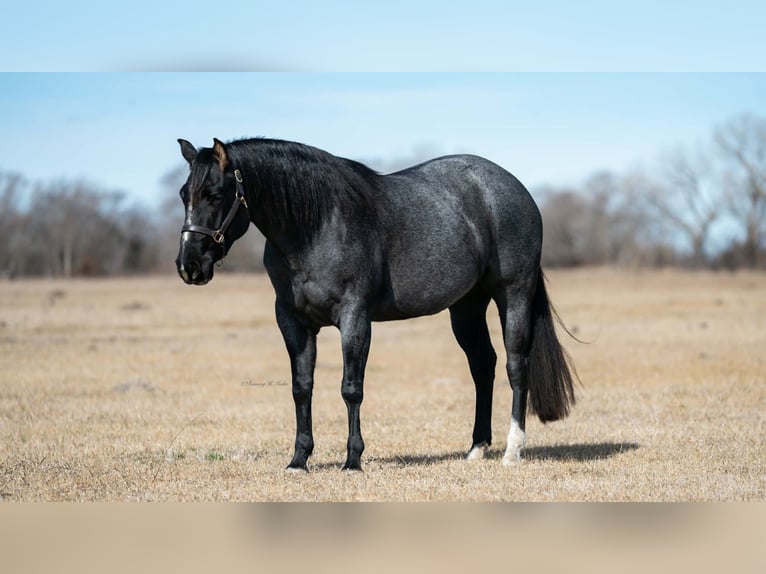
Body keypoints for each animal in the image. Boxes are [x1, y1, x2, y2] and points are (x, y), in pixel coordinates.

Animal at [175, 137, 577, 471]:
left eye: (214, 193)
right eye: (183, 194)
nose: (189, 265)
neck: (317, 227)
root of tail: (514, 188)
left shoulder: (355, 317)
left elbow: (351, 388)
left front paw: (352, 460)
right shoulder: (292, 321)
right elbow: (301, 387)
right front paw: (299, 459)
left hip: (513, 294)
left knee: (515, 366)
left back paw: (512, 451)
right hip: (466, 306)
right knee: (483, 365)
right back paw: (476, 448)